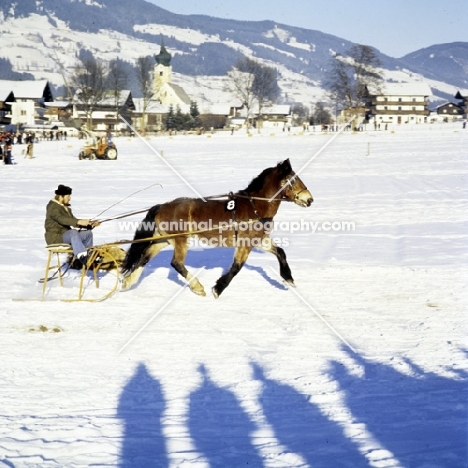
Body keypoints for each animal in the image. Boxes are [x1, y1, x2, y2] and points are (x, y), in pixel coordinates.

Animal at [120, 161, 312, 298]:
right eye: (293, 179)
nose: (310, 199)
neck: (255, 206)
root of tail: (162, 206)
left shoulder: (259, 240)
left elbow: (280, 252)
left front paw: (288, 278)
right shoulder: (245, 244)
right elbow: (236, 267)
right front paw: (218, 289)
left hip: (164, 238)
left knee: (145, 256)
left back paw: (128, 282)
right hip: (180, 240)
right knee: (176, 263)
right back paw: (197, 287)